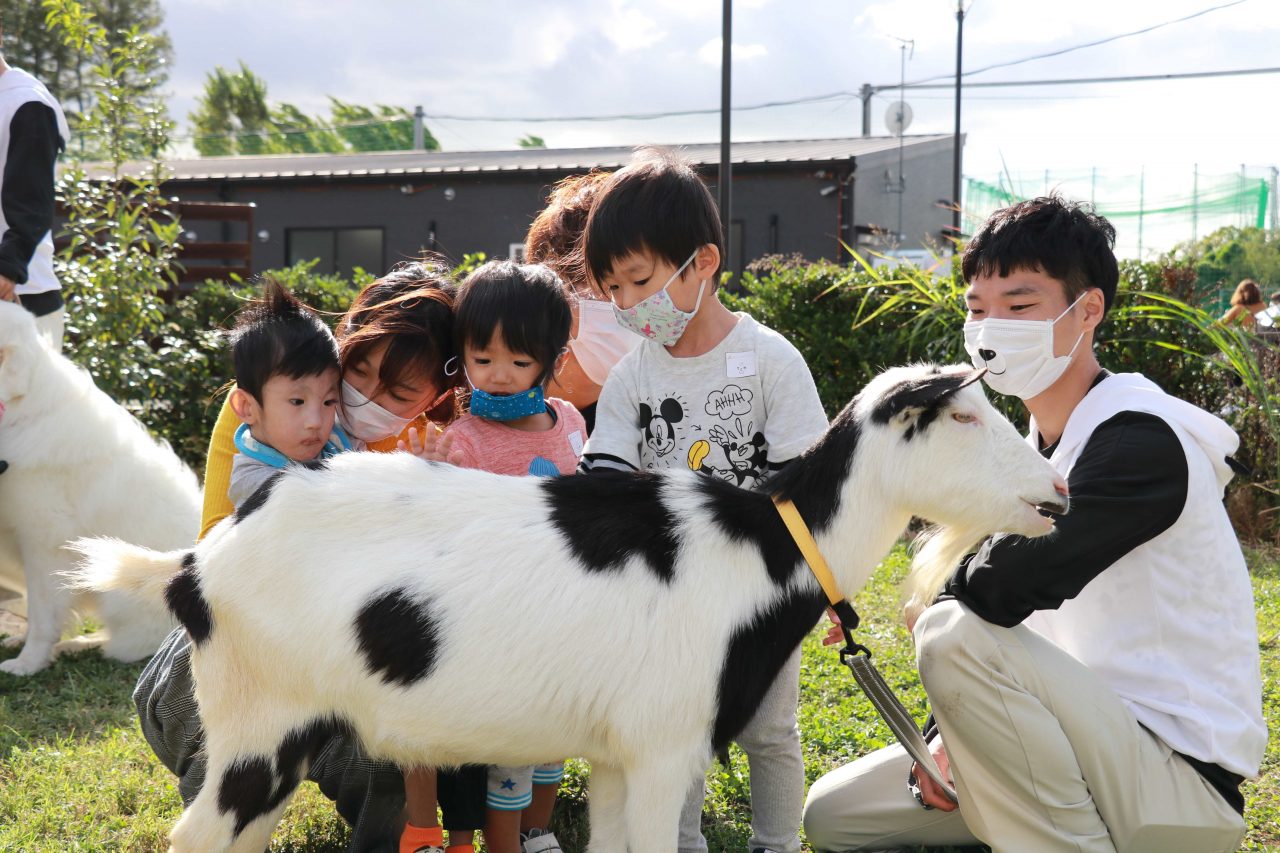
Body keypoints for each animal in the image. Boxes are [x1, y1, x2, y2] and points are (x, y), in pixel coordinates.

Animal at [72, 361, 1070, 845]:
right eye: (966, 416)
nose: (1057, 490)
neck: (766, 547)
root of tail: (194, 566)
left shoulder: (623, 751)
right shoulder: (666, 743)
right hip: (257, 728)